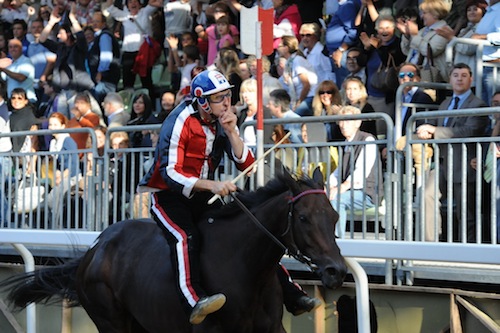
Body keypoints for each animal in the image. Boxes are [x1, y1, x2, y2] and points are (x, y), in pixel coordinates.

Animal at [2, 169, 348, 332]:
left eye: (334, 216)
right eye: (303, 218)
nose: (337, 271)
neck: (248, 267)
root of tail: (93, 251)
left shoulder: (272, 328)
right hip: (111, 320)